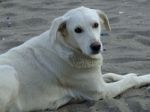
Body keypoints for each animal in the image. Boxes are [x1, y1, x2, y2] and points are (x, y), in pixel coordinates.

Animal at [0, 6, 150, 111]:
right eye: (77, 30)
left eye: (96, 24)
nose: (96, 46)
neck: (69, 48)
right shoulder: (102, 91)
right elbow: (131, 80)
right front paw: (138, 78)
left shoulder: (96, 78)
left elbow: (112, 74)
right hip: (9, 72)